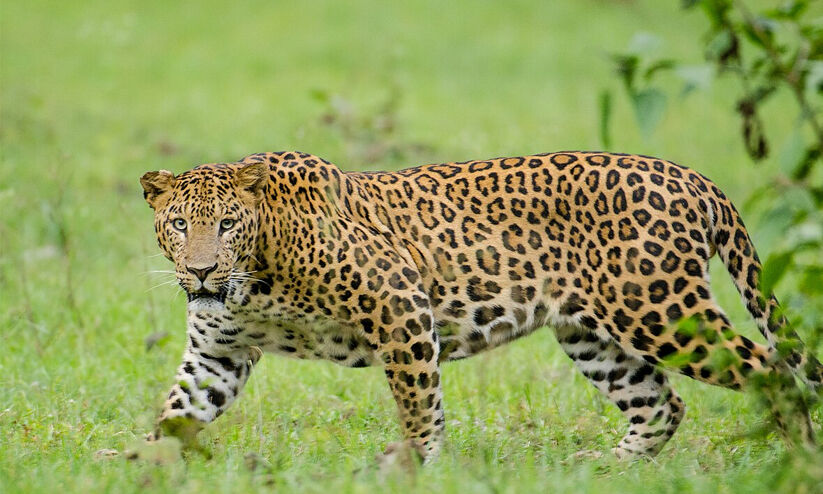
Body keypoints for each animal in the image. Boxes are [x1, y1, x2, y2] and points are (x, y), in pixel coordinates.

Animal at [140, 150, 823, 462]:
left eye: (228, 224)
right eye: (179, 223)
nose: (201, 270)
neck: (254, 279)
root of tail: (692, 176)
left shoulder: (399, 301)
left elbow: (418, 401)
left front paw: (415, 464)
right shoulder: (218, 353)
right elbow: (178, 410)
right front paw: (139, 464)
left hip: (659, 311)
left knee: (771, 371)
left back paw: (796, 460)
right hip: (592, 335)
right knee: (662, 404)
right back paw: (609, 468)